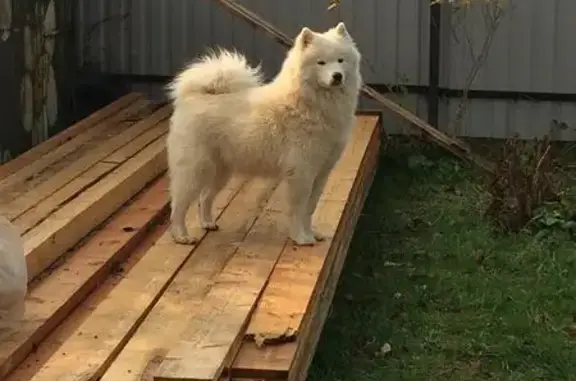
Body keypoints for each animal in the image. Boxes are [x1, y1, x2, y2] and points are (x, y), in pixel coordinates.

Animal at [165, 21, 360, 246]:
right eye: (321, 62)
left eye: (340, 60)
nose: (337, 76)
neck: (311, 103)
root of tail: (194, 96)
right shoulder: (301, 172)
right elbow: (298, 209)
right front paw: (301, 238)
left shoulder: (321, 172)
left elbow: (309, 209)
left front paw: (312, 233)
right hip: (195, 169)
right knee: (179, 205)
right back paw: (181, 235)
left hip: (221, 171)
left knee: (205, 197)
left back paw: (208, 223)